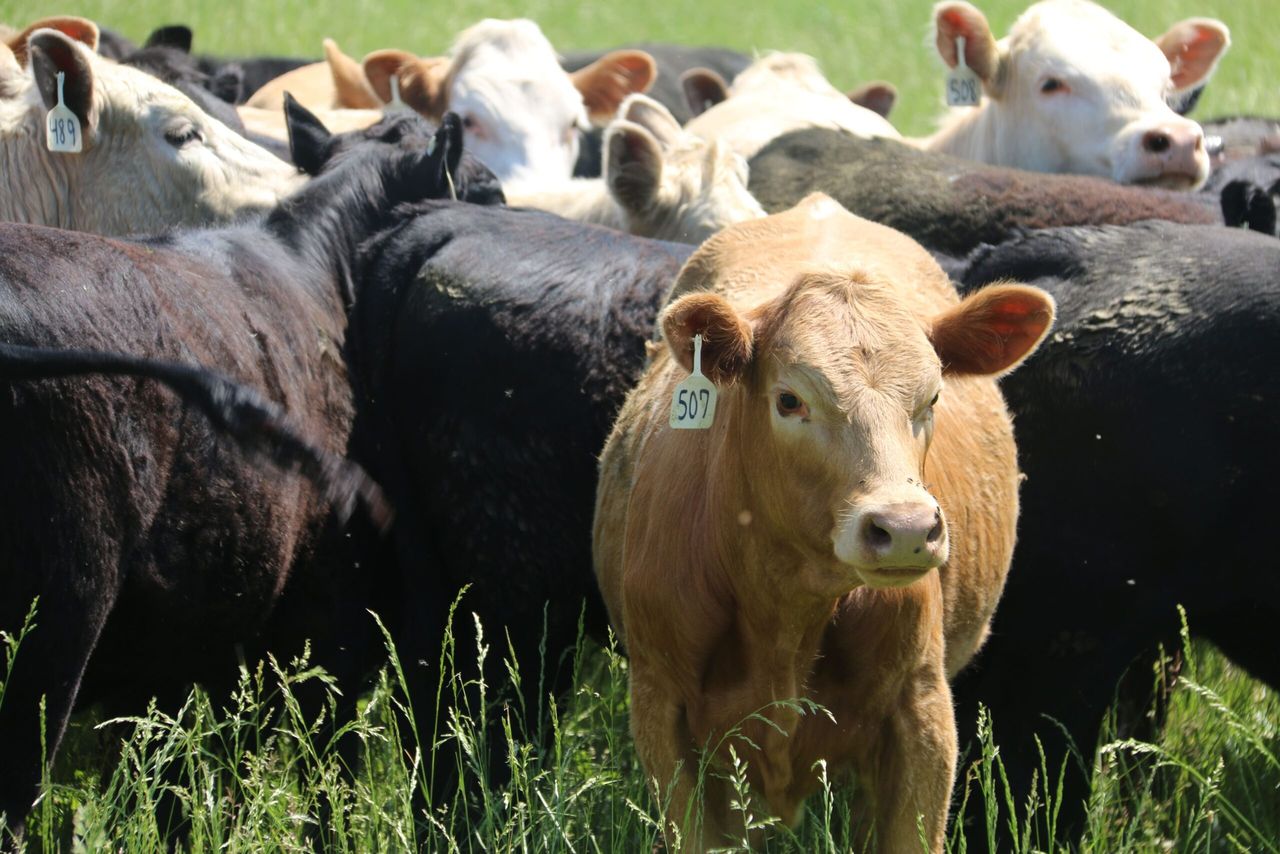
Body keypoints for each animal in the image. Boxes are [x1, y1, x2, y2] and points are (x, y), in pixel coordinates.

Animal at [0, 102, 490, 833]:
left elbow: (184, 793)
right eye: (490, 191)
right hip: (49, 642)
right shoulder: (332, 627)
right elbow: (326, 787)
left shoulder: (182, 658)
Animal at [591, 193, 1054, 851]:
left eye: (933, 398)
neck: (787, 612)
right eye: (789, 400)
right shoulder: (662, 711)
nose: (906, 528)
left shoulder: (921, 713)